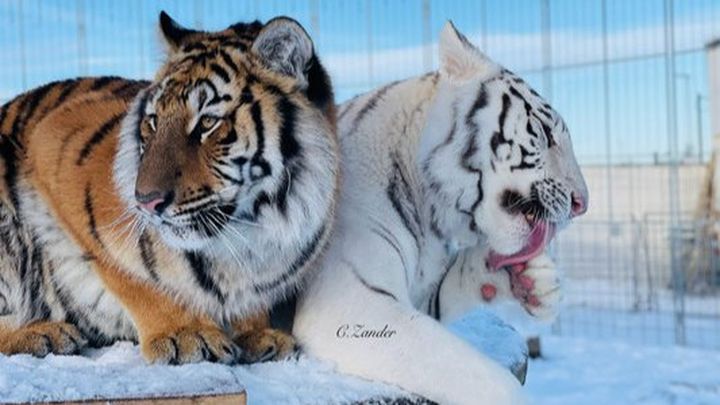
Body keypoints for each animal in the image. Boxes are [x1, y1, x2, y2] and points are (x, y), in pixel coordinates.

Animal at [0, 12, 339, 365]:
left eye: (207, 123)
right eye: (153, 121)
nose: (146, 201)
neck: (257, 224)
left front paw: (257, 334)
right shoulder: (53, 139)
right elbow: (134, 274)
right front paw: (185, 334)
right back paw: (42, 332)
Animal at [293, 21, 588, 404]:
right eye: (545, 134)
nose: (583, 202)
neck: (429, 212)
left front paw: (534, 280)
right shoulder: (350, 301)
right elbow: (485, 377)